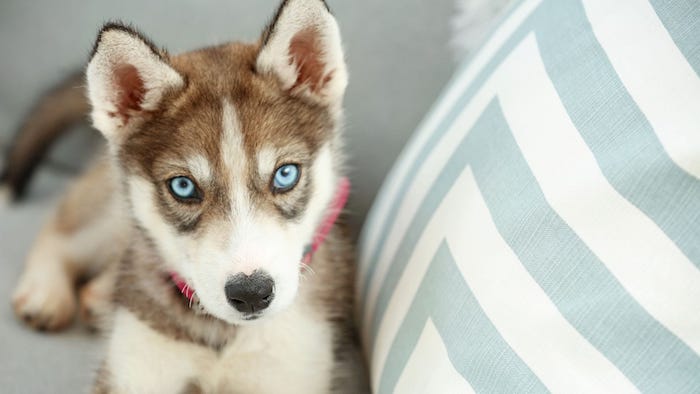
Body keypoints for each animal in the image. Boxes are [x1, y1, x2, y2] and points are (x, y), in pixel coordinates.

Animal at [5, 0, 370, 390]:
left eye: (286, 175)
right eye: (183, 186)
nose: (251, 294)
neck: (222, 334)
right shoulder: (134, 371)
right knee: (60, 230)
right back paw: (45, 294)